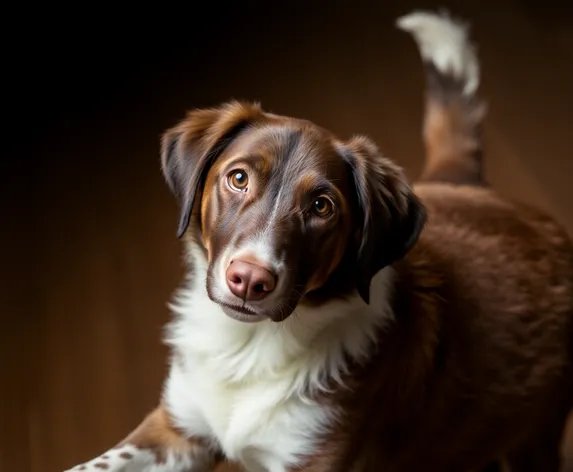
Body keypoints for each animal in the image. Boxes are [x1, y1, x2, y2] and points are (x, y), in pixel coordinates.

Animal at [63, 11, 572, 472]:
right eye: (238, 178)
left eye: (322, 207)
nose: (249, 280)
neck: (249, 348)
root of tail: (474, 188)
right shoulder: (176, 428)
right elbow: (98, 464)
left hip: (533, 433)